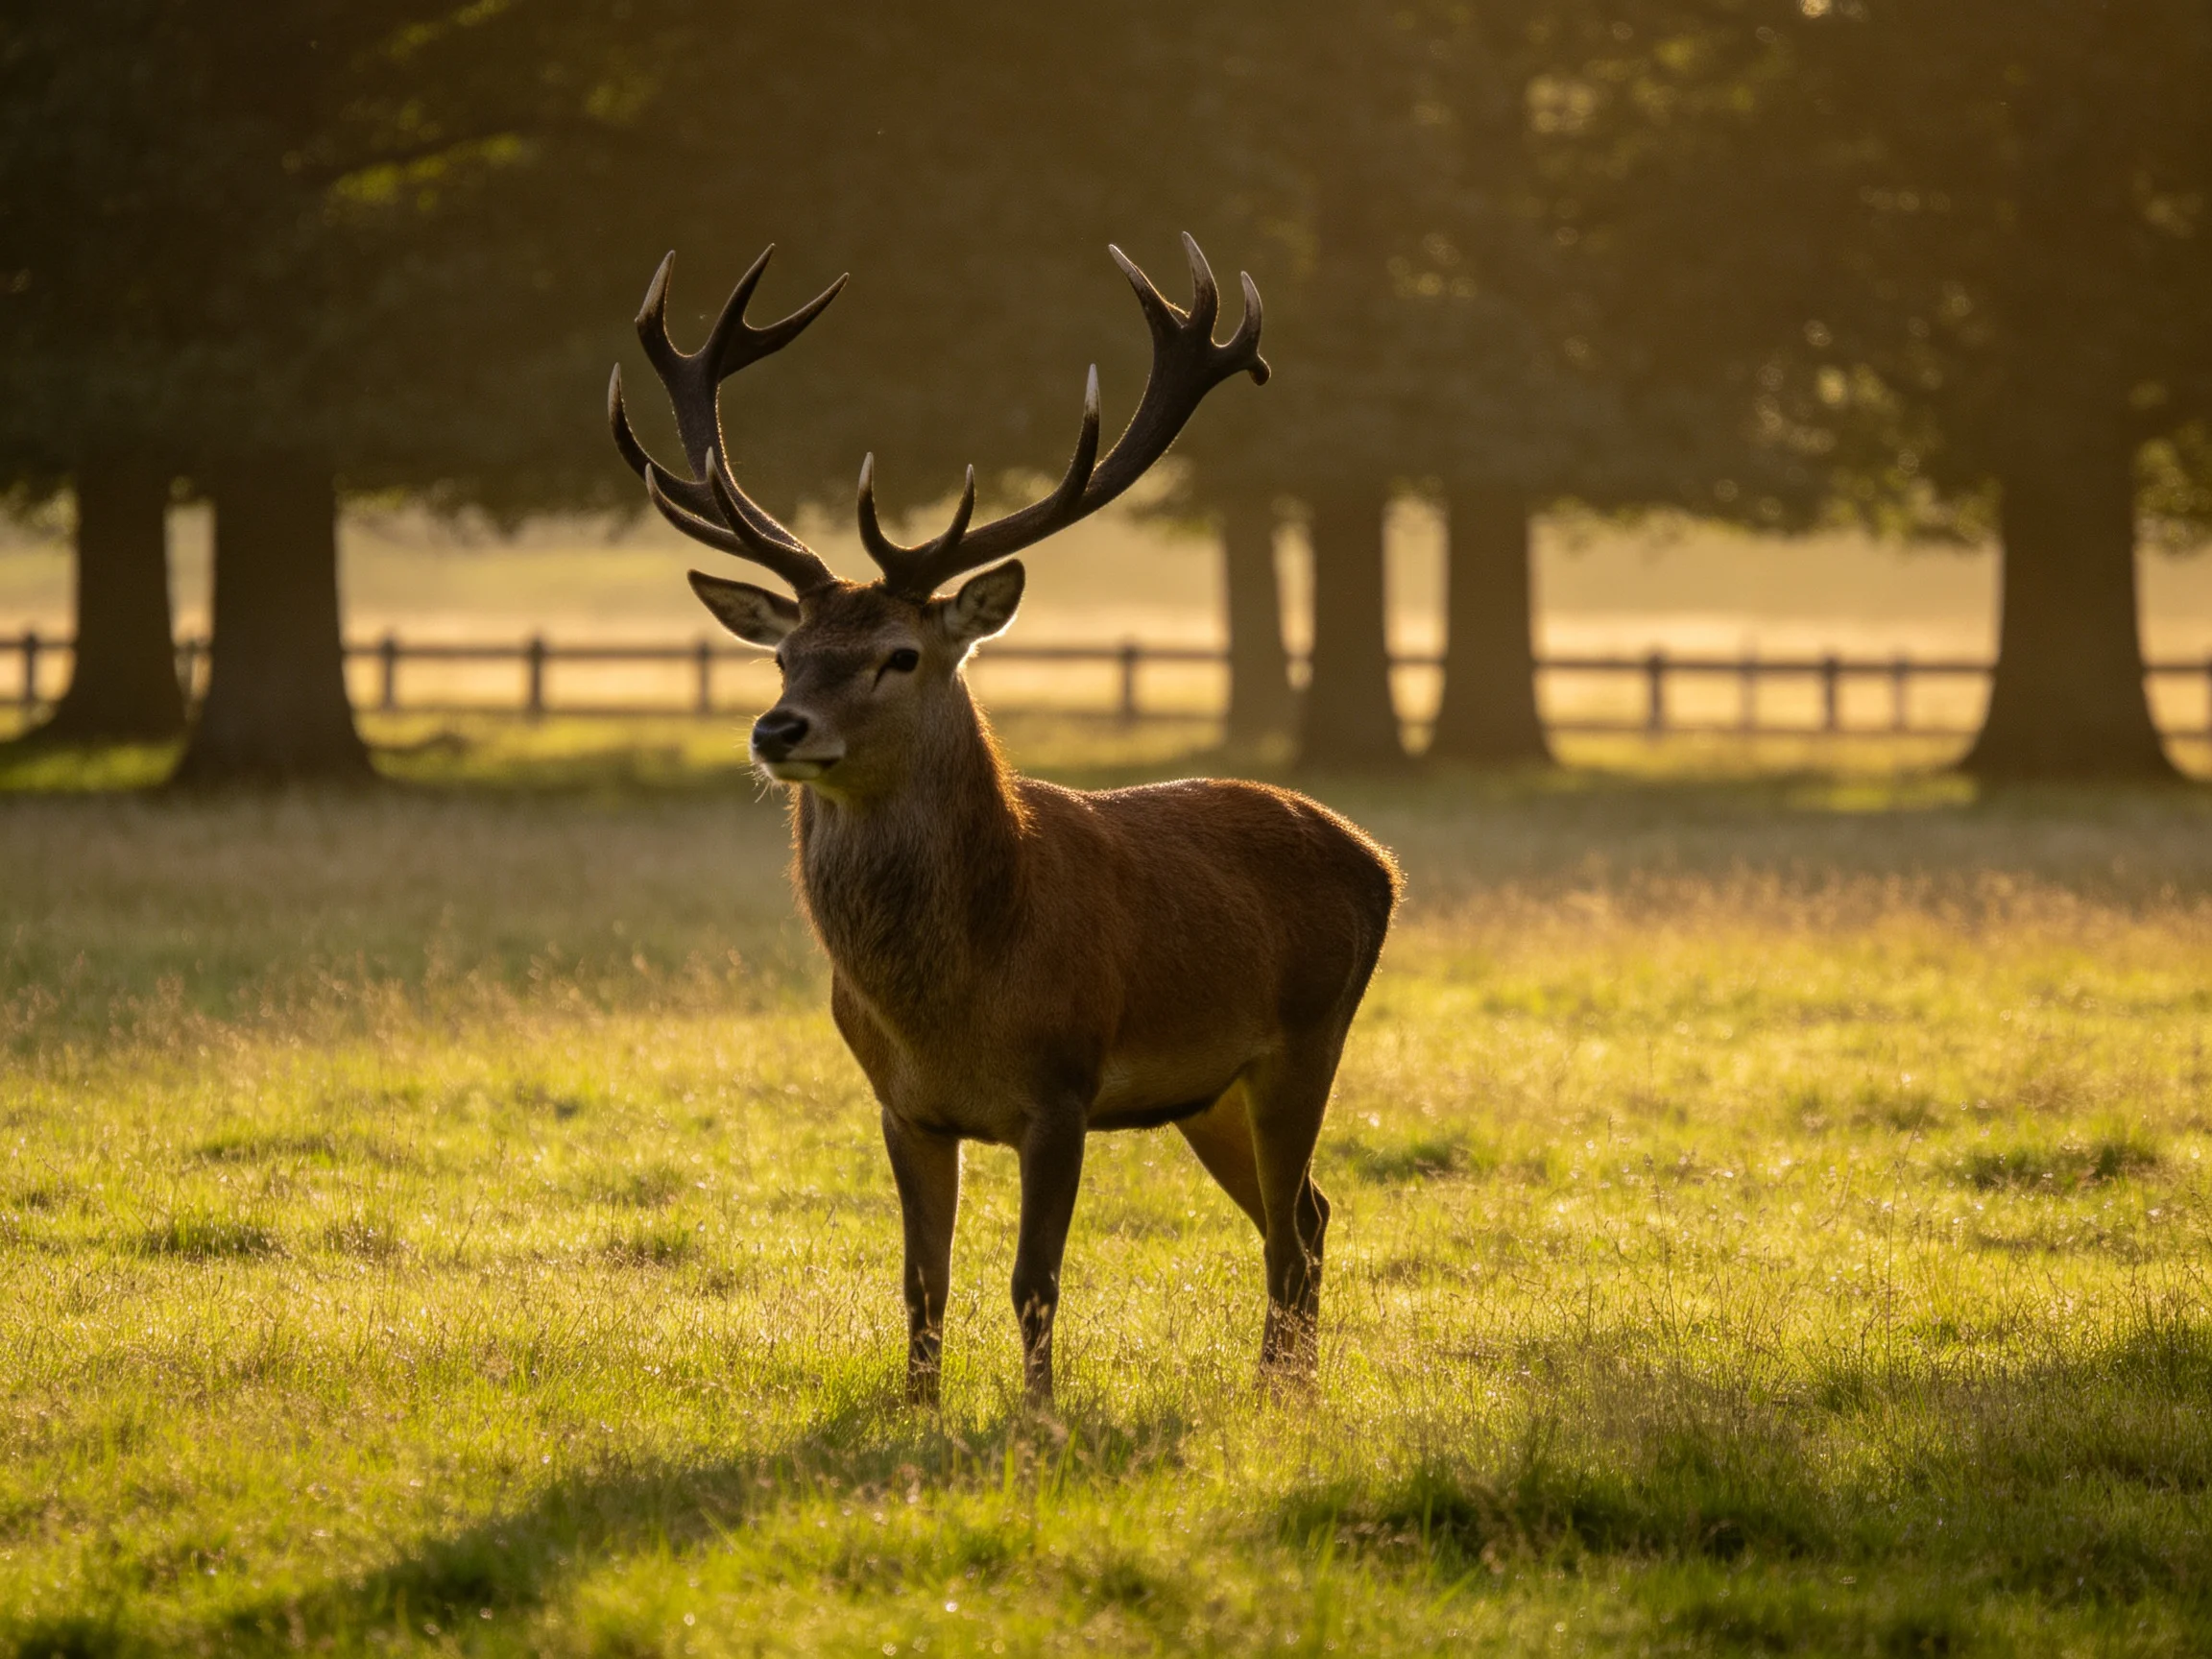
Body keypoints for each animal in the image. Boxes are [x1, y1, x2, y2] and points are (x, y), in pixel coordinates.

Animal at [608, 235, 1400, 1404]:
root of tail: (1378, 862)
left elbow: (1035, 1280)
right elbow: (921, 1282)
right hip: (1209, 1089)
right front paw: (918, 1412)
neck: (957, 1000)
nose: (777, 728)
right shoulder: (901, 1106)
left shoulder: (1062, 1090)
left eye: (899, 654)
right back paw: (1281, 1385)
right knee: (1303, 1212)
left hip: (1308, 1038)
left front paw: (1039, 1418)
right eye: (785, 653)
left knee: (1296, 1228)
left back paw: (1282, 1396)